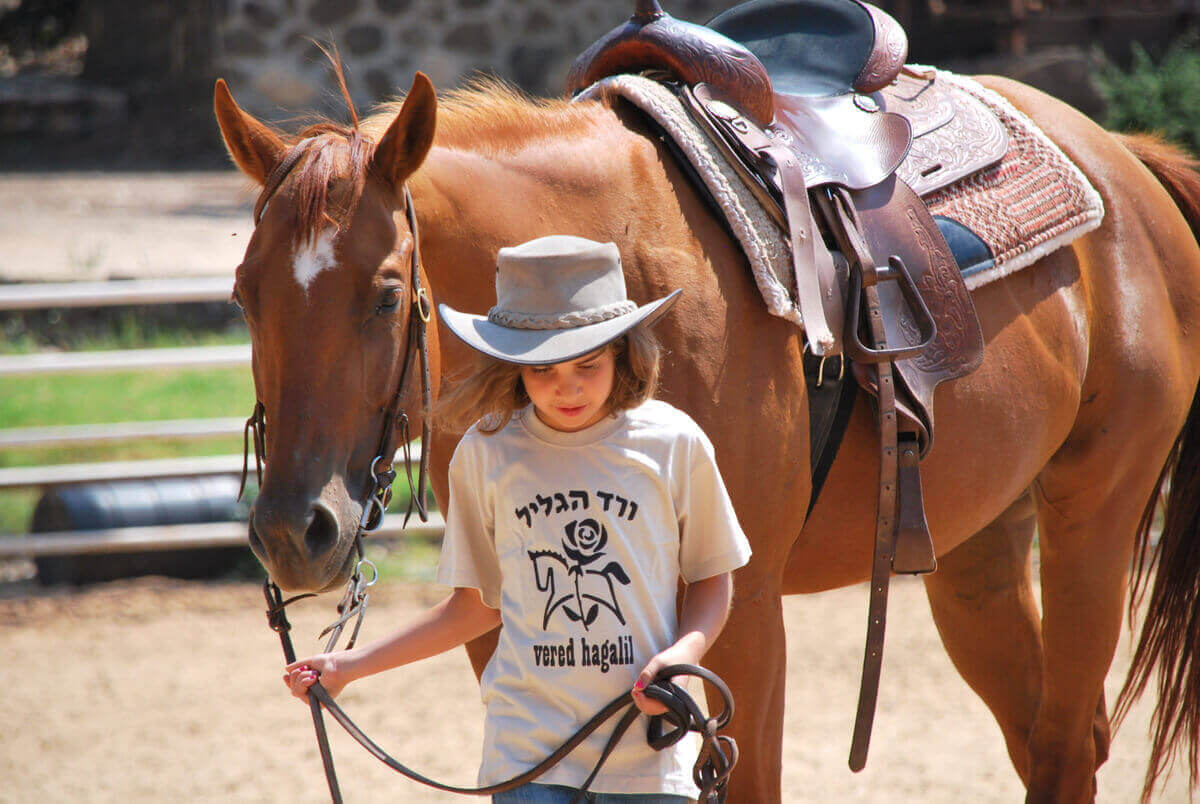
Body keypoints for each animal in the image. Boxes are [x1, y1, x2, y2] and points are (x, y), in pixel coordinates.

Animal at [216, 66, 1200, 801]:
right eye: (243, 294)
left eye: (387, 293)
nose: (293, 530)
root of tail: (1125, 160)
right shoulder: (499, 624)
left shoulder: (744, 615)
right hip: (979, 549)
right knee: (1045, 734)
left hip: (1093, 517)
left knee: (1069, 741)